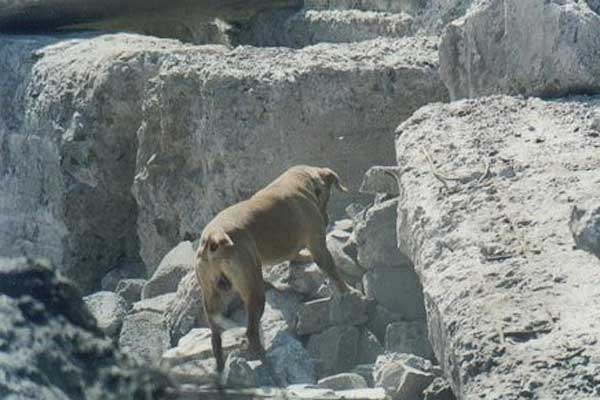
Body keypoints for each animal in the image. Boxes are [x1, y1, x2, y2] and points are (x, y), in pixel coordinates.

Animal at [195, 164, 352, 370]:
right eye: (327, 197)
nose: (326, 219)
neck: (302, 180)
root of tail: (214, 236)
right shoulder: (319, 248)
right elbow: (334, 274)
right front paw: (350, 292)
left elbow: (296, 255)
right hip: (254, 290)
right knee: (251, 332)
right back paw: (264, 360)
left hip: (211, 293)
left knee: (215, 336)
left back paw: (221, 367)